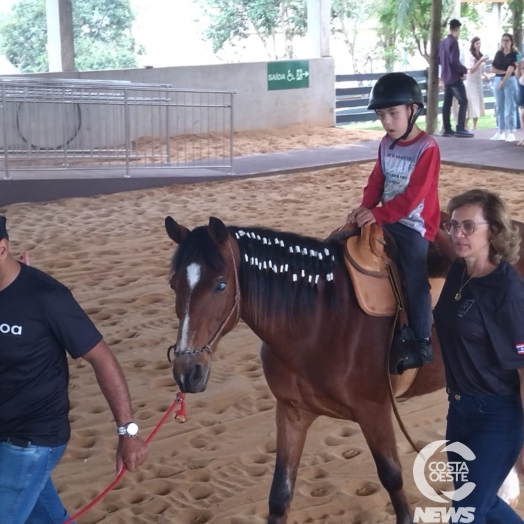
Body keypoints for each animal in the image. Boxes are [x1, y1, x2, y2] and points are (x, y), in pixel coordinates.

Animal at [164, 216, 524, 524]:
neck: (319, 320)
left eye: (221, 285)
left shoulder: (374, 410)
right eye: (173, 284)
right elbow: (280, 494)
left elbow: (392, 478)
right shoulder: (291, 412)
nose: (187, 371)